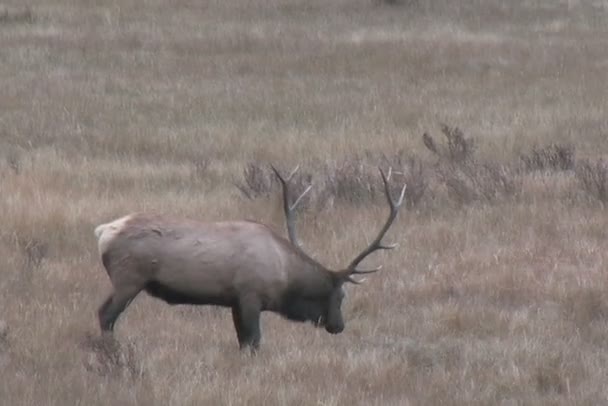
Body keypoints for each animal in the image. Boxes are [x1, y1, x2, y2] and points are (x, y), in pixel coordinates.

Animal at [95, 167, 406, 350]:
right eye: (340, 297)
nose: (338, 326)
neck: (285, 275)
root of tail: (103, 231)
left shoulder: (234, 300)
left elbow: (242, 341)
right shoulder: (250, 295)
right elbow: (254, 341)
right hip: (129, 278)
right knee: (106, 315)